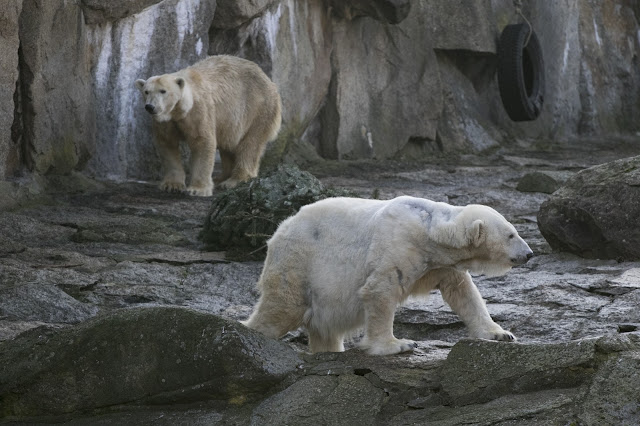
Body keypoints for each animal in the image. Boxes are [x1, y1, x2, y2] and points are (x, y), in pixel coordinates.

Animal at [136, 54, 282, 197]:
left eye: (163, 91)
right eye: (146, 91)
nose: (150, 106)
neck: (179, 111)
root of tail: (269, 80)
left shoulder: (198, 111)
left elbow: (202, 142)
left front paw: (197, 189)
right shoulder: (166, 121)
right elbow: (167, 144)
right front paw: (171, 185)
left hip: (258, 109)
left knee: (250, 144)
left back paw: (234, 180)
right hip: (231, 122)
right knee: (228, 145)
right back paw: (221, 178)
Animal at [242, 196, 532, 356]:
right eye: (511, 235)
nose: (529, 254)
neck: (431, 232)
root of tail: (278, 232)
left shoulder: (442, 263)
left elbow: (464, 293)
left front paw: (500, 334)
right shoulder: (399, 244)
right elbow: (380, 290)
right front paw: (399, 344)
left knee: (324, 328)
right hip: (299, 262)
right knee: (282, 307)